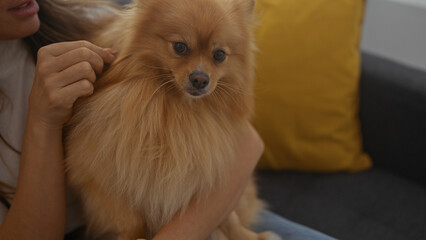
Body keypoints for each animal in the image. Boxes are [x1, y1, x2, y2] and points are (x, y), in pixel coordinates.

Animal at [63, 0, 280, 239]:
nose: (200, 79)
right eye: (180, 47)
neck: (176, 109)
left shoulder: (208, 176)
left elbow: (229, 217)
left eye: (219, 55)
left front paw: (250, 236)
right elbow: (129, 221)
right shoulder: (100, 183)